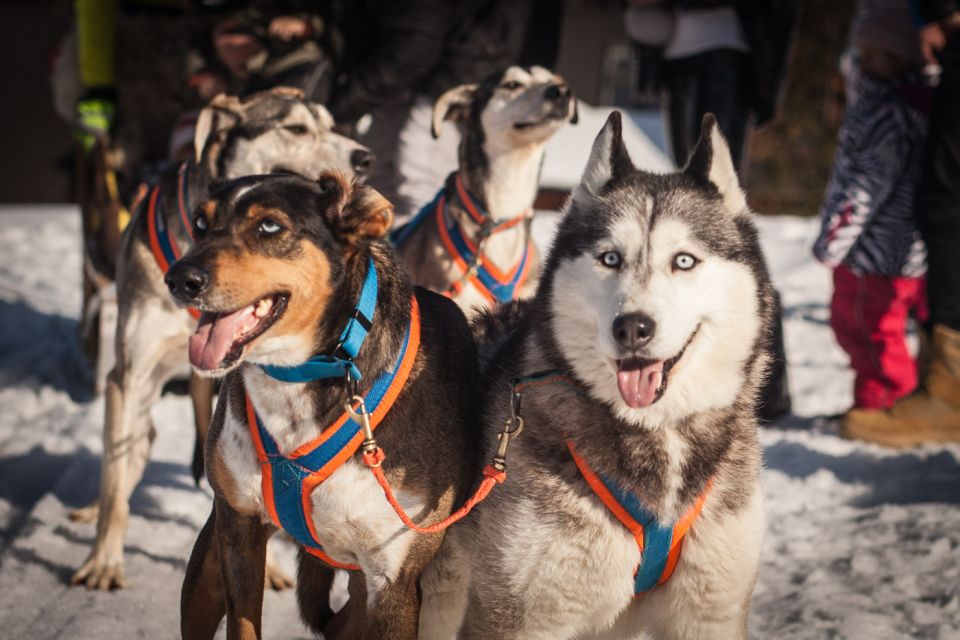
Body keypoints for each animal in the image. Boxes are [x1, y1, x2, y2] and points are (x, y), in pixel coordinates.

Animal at [171, 171, 480, 640]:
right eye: (201, 224)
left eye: (269, 226)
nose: (179, 278)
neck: (297, 374)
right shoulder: (238, 526)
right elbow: (242, 623)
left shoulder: (393, 581)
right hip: (208, 569)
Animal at [420, 112, 772, 640]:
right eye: (610, 258)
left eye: (684, 260)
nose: (632, 327)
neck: (655, 435)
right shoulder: (521, 618)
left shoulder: (709, 613)